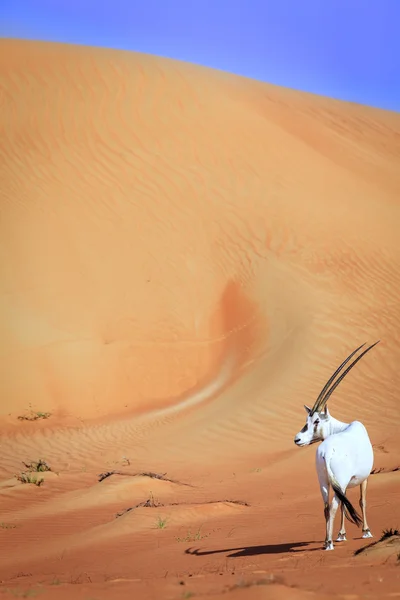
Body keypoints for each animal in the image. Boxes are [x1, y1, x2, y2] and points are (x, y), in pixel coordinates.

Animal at [296, 342, 380, 552]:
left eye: (315, 420)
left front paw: (342, 534)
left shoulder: (343, 483)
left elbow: (344, 503)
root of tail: (326, 452)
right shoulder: (364, 477)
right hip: (338, 481)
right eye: (308, 420)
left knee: (327, 506)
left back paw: (328, 539)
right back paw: (329, 543)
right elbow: (361, 501)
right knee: (334, 505)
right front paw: (366, 531)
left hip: (324, 482)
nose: (297, 439)